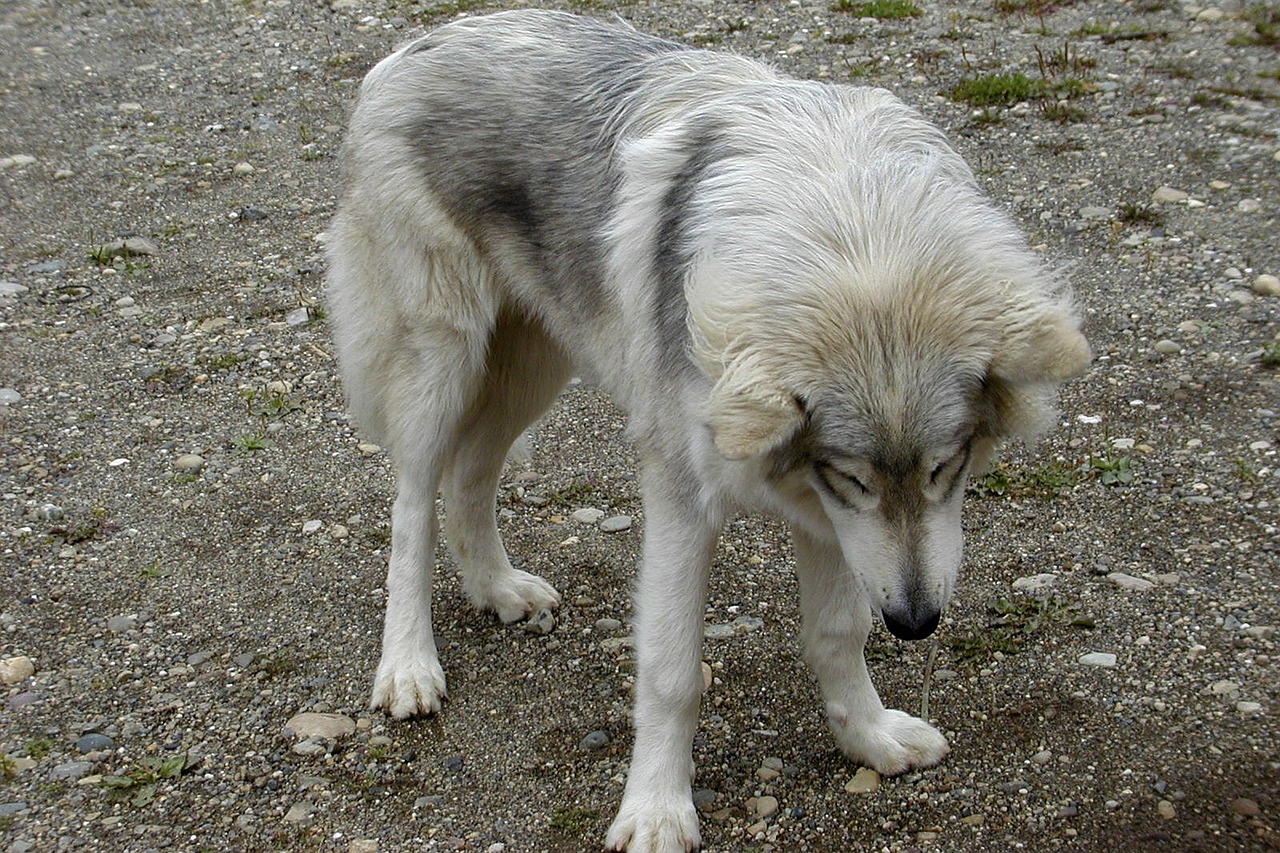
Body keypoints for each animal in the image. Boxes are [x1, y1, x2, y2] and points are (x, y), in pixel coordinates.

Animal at [327, 9, 1090, 845]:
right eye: (854, 476)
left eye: (947, 468)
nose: (917, 623)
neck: (853, 227)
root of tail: (416, 44)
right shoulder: (691, 501)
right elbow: (671, 673)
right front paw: (657, 811)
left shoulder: (826, 517)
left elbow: (837, 631)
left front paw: (869, 737)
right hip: (444, 360)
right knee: (410, 507)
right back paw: (408, 665)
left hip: (535, 361)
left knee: (471, 474)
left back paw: (497, 588)